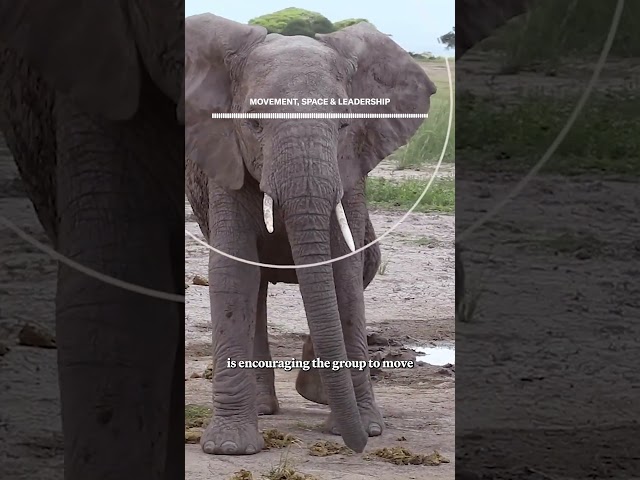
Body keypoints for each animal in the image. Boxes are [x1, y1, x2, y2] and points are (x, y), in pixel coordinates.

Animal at [184, 13, 436, 455]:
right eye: (253, 124)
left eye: (344, 123)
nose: (360, 446)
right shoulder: (224, 159)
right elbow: (234, 272)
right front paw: (230, 448)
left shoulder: (351, 170)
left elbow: (345, 273)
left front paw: (365, 426)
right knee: (258, 286)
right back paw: (267, 408)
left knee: (365, 266)